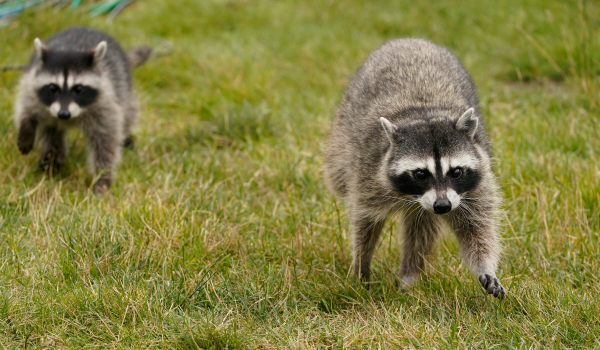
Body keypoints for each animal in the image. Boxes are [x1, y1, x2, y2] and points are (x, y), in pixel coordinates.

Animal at [13, 26, 151, 193]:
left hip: (122, 83)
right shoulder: (31, 83)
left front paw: (103, 177)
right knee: (50, 131)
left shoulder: (105, 99)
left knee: (129, 110)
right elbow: (26, 106)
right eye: (53, 88)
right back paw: (53, 156)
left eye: (78, 89)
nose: (63, 114)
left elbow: (106, 141)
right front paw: (26, 128)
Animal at [324, 38, 506, 298]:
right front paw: (360, 266)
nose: (443, 206)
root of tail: (410, 39)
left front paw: (485, 266)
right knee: (338, 175)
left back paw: (409, 275)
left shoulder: (477, 183)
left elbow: (476, 228)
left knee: (422, 229)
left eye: (456, 172)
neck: (425, 112)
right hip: (343, 133)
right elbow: (365, 221)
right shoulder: (368, 172)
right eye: (420, 174)